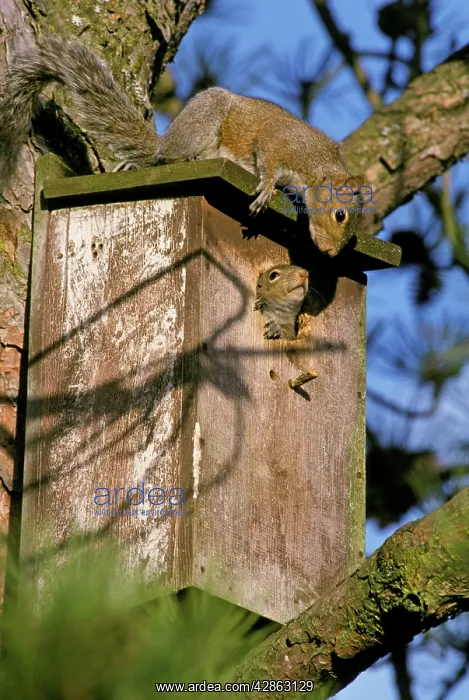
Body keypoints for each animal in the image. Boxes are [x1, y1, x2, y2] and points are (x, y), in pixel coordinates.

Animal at [0, 37, 364, 256]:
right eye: (340, 215)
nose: (331, 253)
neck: (318, 164)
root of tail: (167, 141)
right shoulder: (280, 142)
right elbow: (269, 161)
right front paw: (267, 189)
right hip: (206, 119)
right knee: (169, 157)